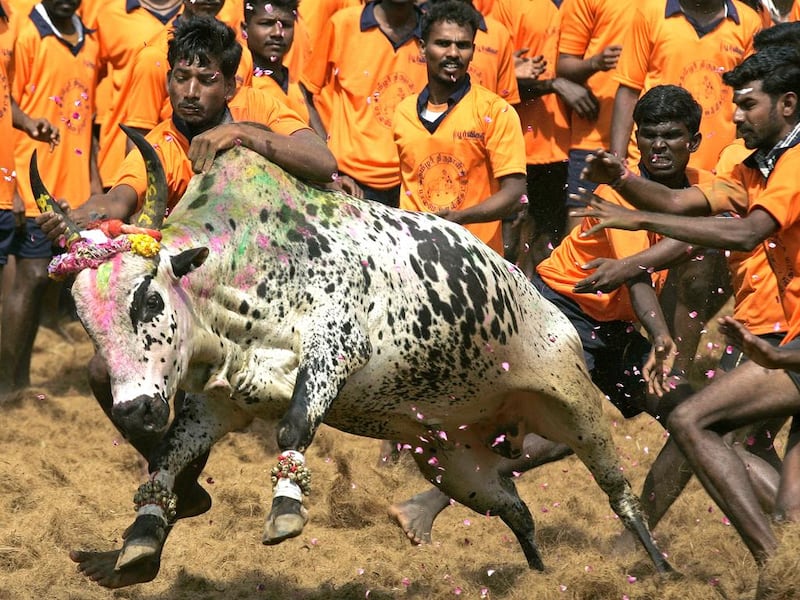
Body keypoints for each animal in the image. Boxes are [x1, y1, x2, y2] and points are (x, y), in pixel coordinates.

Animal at [36, 127, 676, 584]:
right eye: (86, 322)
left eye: (147, 297)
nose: (135, 410)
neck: (243, 265)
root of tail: (544, 303)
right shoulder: (219, 404)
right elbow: (168, 456)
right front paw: (141, 540)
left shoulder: (336, 348)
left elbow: (294, 427)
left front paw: (286, 511)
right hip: (454, 463)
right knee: (516, 508)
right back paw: (538, 573)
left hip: (576, 406)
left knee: (619, 492)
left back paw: (663, 568)